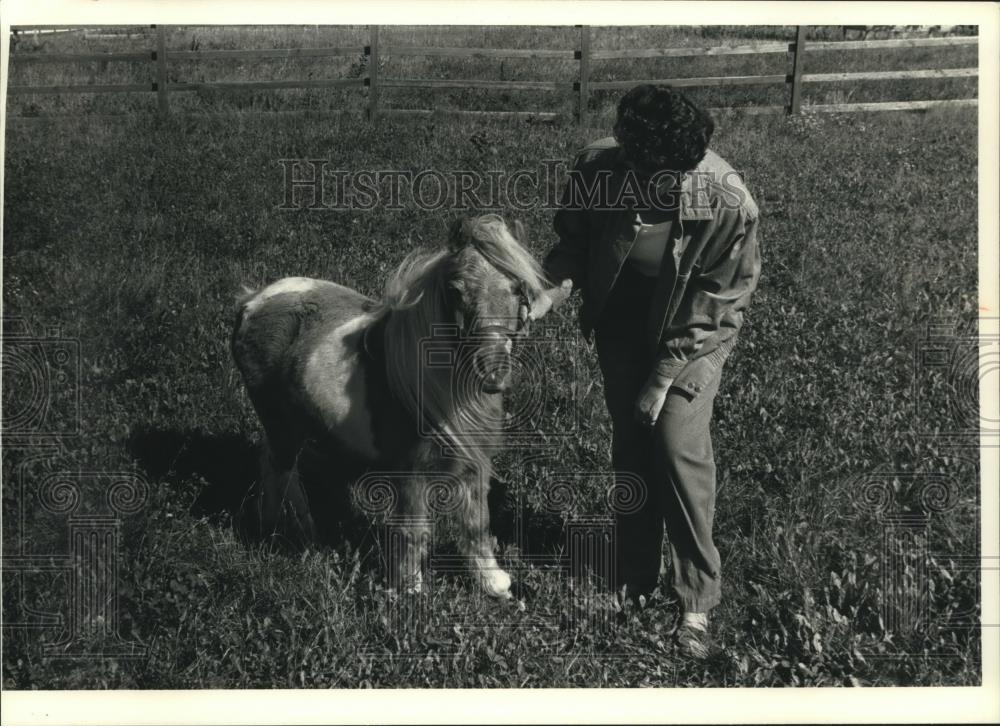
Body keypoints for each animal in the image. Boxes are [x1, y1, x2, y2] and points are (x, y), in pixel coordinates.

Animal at [229, 216, 568, 604]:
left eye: (516, 289)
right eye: (455, 290)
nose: (493, 375)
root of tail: (252, 300)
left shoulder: (474, 460)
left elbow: (477, 522)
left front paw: (493, 584)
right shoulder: (410, 472)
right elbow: (413, 530)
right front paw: (410, 591)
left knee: (273, 462)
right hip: (279, 420)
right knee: (281, 467)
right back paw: (295, 530)